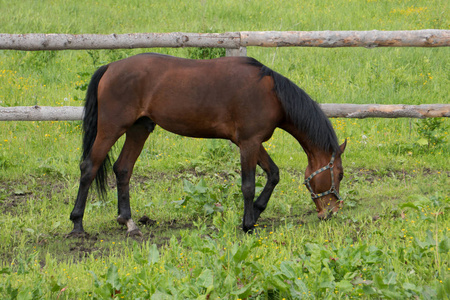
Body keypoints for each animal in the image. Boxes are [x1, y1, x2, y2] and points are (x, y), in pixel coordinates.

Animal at [68, 53, 346, 237]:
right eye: (340, 174)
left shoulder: (253, 142)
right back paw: (77, 224)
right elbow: (248, 185)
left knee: (123, 169)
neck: (272, 94)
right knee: (89, 168)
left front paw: (256, 213)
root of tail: (110, 67)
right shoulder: (248, 143)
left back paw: (128, 222)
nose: (332, 212)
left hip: (139, 129)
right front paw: (247, 224)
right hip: (110, 129)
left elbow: (273, 174)